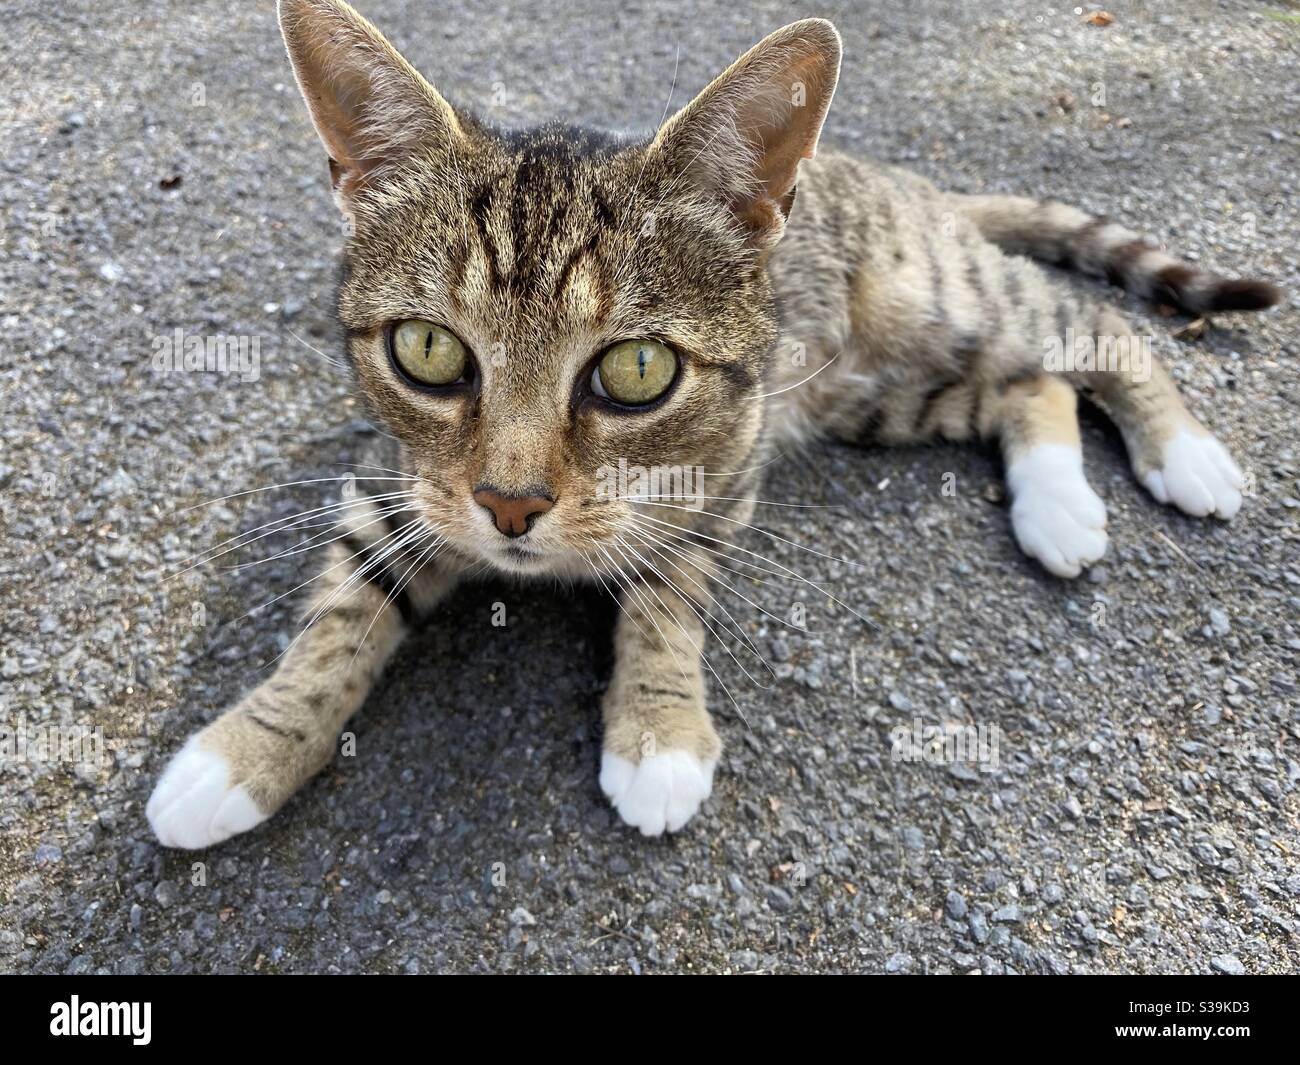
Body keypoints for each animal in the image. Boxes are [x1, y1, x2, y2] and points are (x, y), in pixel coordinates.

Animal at [144, 0, 1279, 847]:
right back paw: (1056, 509)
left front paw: (657, 731)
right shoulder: (398, 486)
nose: (509, 505)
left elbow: (668, 596)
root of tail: (912, 184)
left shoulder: (724, 472)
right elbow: (340, 617)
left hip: (937, 301)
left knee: (1089, 328)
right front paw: (247, 747)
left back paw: (1184, 455)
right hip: (868, 396)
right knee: (1024, 388)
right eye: (427, 352)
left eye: (636, 371)